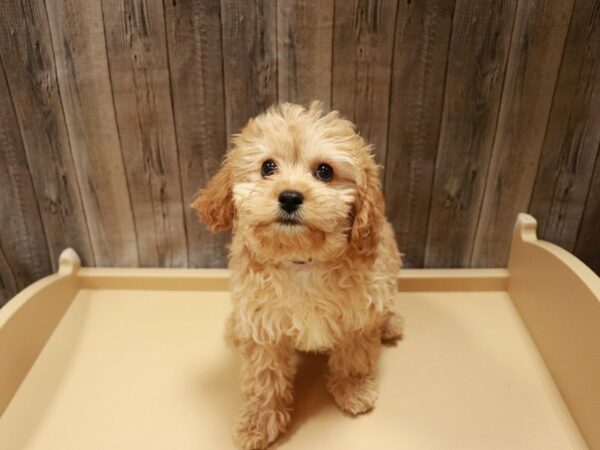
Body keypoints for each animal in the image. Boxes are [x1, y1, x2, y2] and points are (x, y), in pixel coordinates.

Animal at [195, 103, 404, 450]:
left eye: (325, 171)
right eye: (268, 167)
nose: (290, 196)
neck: (302, 261)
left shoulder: (359, 314)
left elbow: (354, 355)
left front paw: (353, 389)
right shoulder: (262, 324)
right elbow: (264, 378)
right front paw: (258, 421)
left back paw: (389, 323)